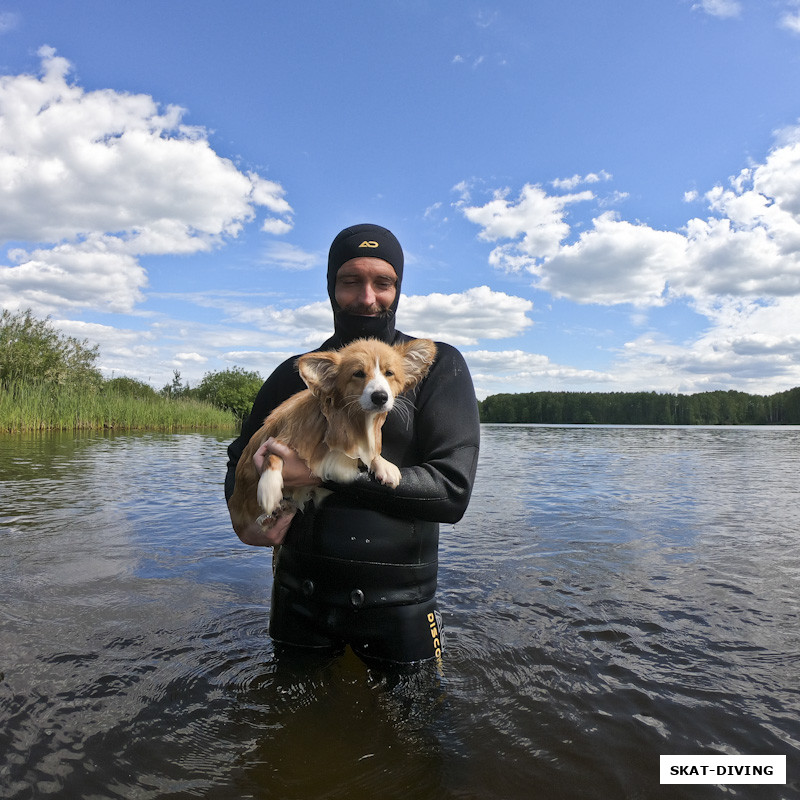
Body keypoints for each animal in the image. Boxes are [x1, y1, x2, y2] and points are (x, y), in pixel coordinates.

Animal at [227, 334, 438, 536]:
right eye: (358, 373)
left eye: (389, 373)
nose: (380, 397)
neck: (351, 419)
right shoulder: (281, 437)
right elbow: (272, 456)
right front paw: (268, 489)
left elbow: (369, 454)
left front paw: (384, 466)